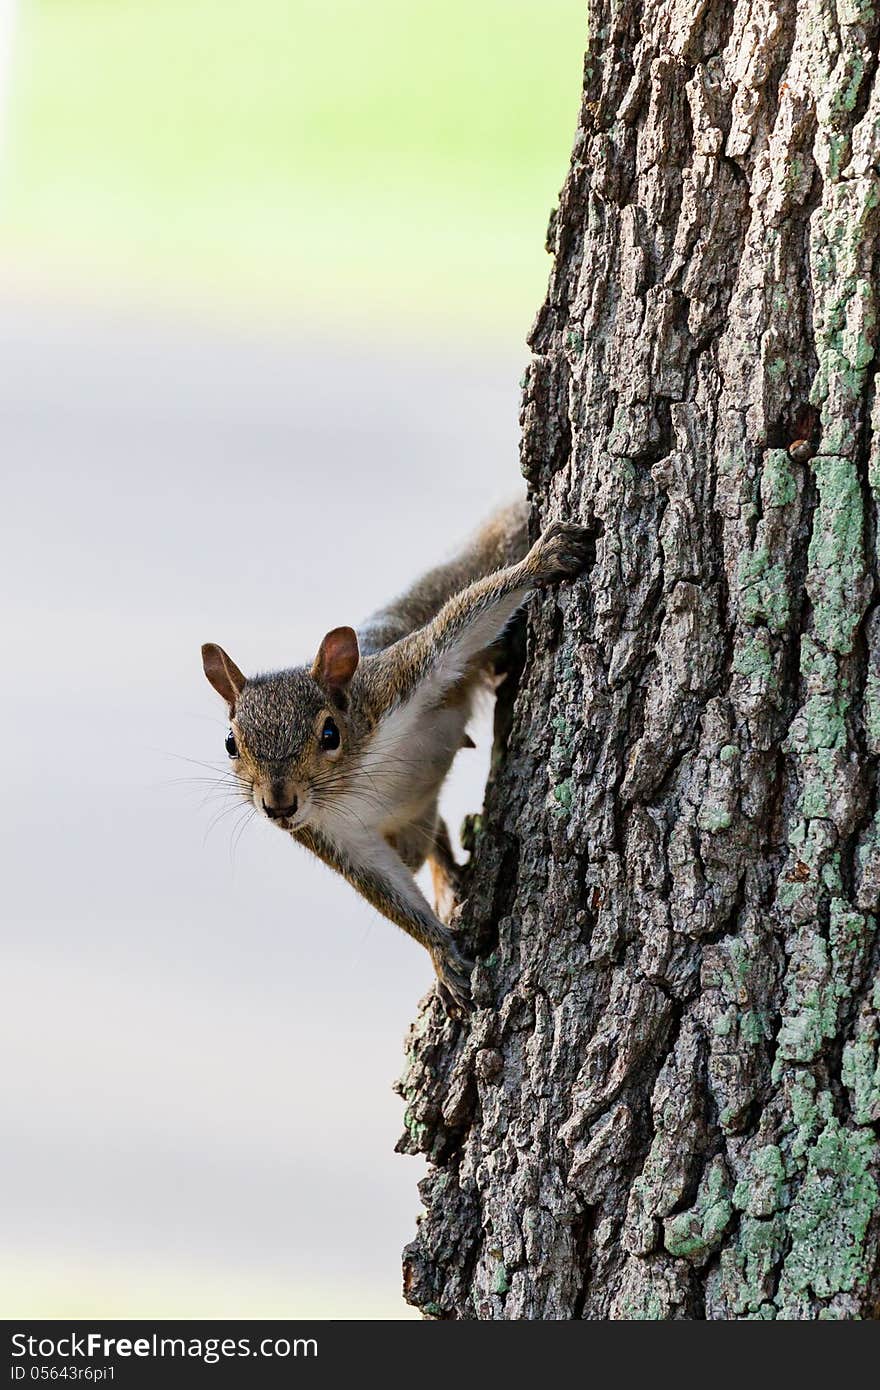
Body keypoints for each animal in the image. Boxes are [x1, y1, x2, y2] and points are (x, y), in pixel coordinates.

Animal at [200, 500, 597, 1011]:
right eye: (231, 744)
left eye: (330, 733)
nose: (278, 806)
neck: (354, 780)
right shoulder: (334, 837)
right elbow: (386, 890)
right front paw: (440, 954)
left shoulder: (400, 679)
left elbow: (457, 626)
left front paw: (542, 561)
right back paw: (448, 884)